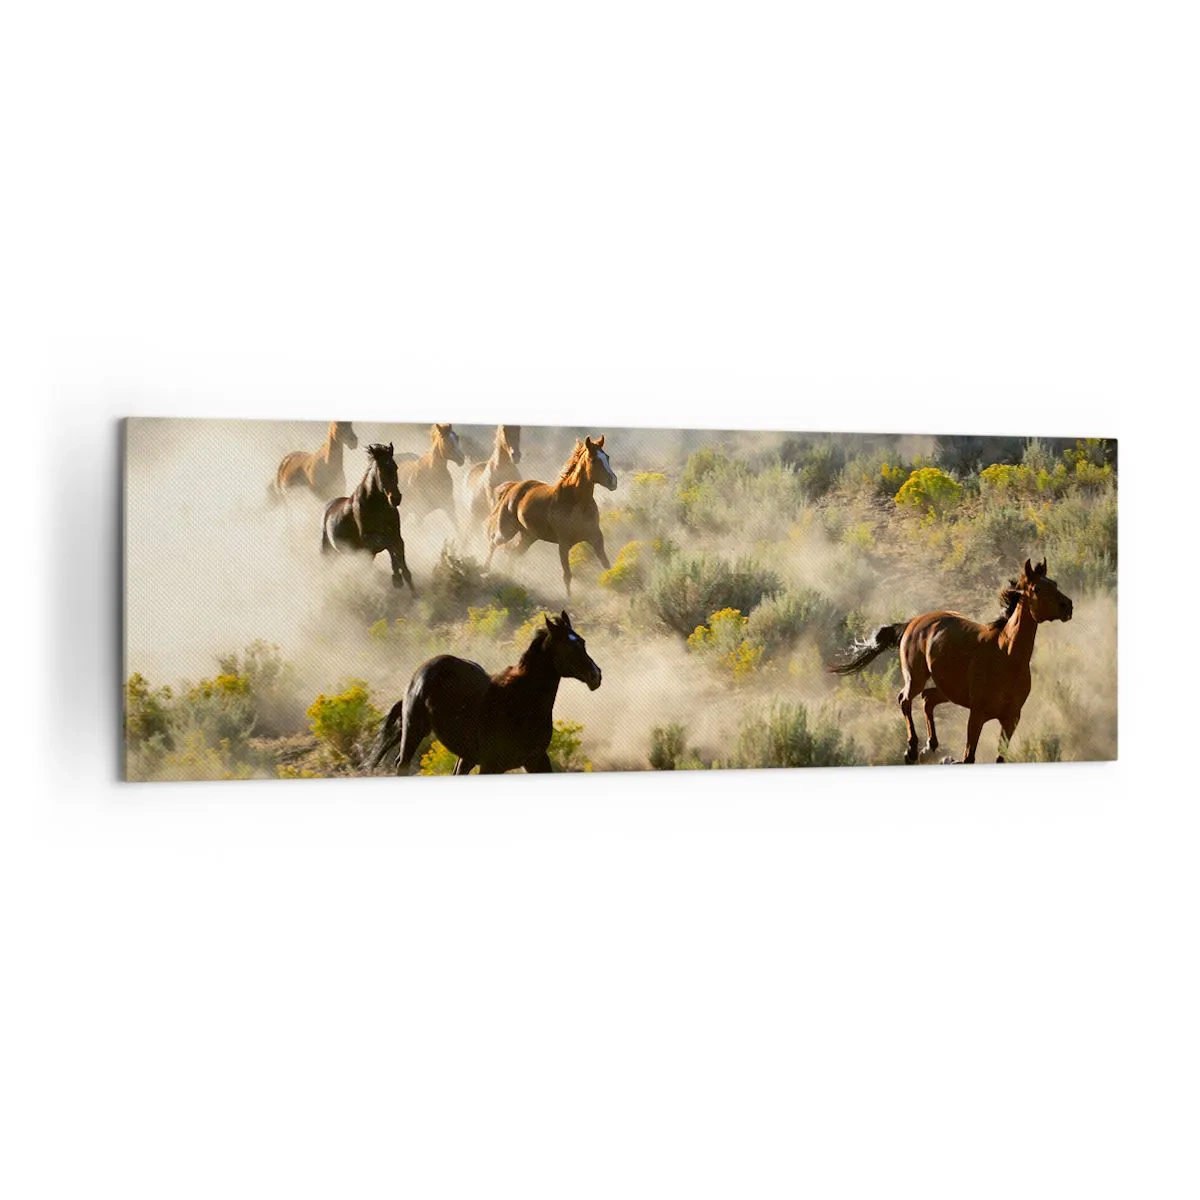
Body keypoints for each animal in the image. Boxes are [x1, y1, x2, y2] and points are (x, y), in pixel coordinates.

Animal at [320, 443, 416, 592]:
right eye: (381, 469)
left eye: (395, 467)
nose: (395, 498)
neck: (376, 505)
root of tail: (327, 508)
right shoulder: (368, 541)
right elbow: (389, 545)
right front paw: (396, 578)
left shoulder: (396, 536)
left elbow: (403, 563)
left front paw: (413, 592)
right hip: (328, 552)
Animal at [370, 611, 601, 774]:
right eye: (568, 647)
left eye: (582, 642)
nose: (596, 675)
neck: (522, 701)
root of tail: (420, 673)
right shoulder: (492, 764)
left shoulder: (535, 759)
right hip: (413, 731)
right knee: (402, 765)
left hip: (465, 755)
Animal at [484, 435, 617, 595]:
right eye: (593, 459)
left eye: (607, 457)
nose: (613, 481)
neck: (576, 502)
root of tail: (512, 487)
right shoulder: (564, 543)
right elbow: (567, 576)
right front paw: (568, 599)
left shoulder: (596, 538)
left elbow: (607, 567)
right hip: (506, 531)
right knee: (493, 542)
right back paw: (485, 570)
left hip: (528, 536)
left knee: (513, 552)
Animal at [828, 558, 1073, 764]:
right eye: (1038, 588)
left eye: (1055, 583)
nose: (1068, 606)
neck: (1006, 657)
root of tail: (913, 621)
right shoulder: (977, 715)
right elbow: (968, 757)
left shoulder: (1011, 719)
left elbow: (999, 758)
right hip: (916, 677)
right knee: (905, 699)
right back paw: (912, 750)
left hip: (948, 689)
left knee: (928, 699)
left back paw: (930, 746)